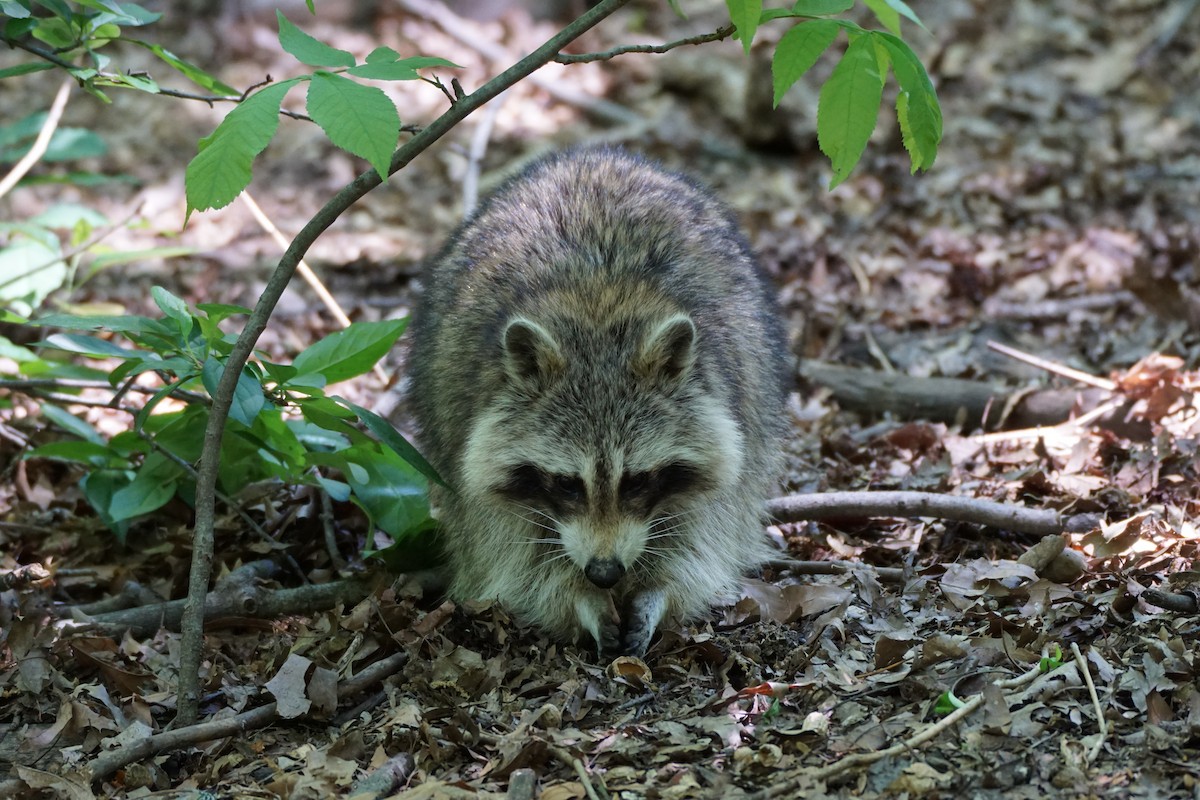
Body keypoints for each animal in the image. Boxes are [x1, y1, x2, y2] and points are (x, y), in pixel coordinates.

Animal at [406, 147, 789, 656]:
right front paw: (576, 595)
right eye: (568, 484)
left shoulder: (727, 419)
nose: (604, 573)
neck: (597, 315)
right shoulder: (472, 443)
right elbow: (509, 558)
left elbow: (701, 540)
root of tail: (593, 156)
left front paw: (656, 591)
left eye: (637, 480)